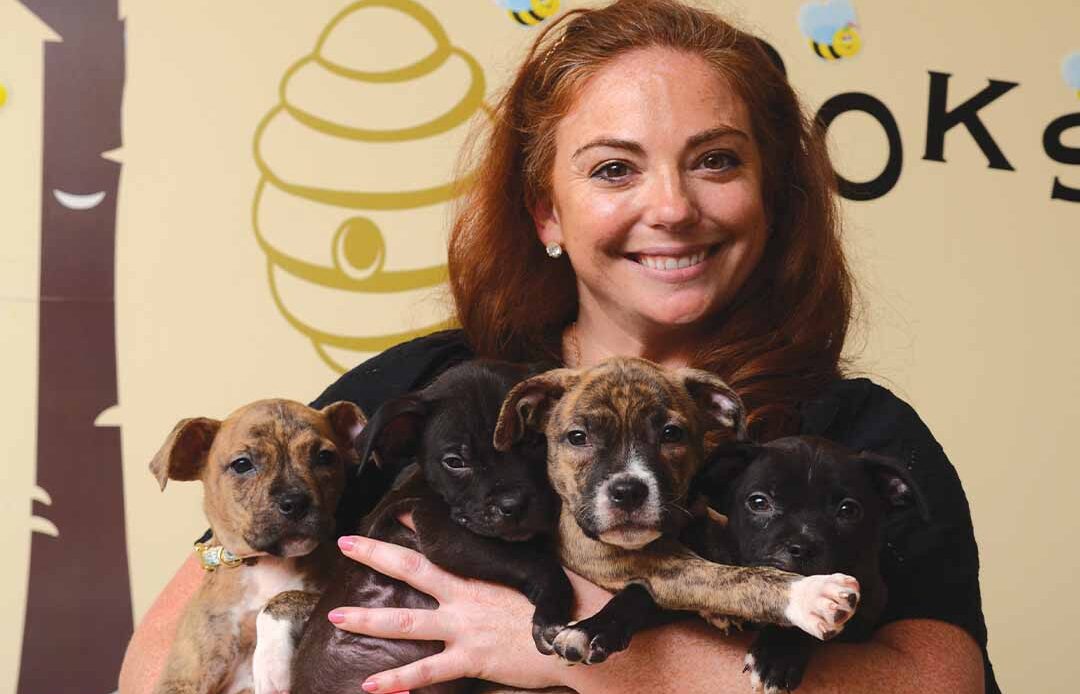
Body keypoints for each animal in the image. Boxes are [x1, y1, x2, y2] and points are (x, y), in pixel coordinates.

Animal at [145, 399, 365, 694]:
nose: (295, 501)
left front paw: (271, 663)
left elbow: (282, 598)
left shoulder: (343, 595)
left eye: (324, 457)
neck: (267, 564)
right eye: (242, 464)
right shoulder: (183, 679)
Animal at [274, 360, 570, 694]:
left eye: (535, 441)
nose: (514, 504)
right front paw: (553, 608)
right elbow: (533, 562)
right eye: (455, 461)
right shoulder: (443, 534)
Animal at [494, 358, 859, 669]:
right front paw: (810, 594)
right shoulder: (647, 564)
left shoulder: (701, 518)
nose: (628, 491)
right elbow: (727, 578)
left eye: (671, 434)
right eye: (577, 437)